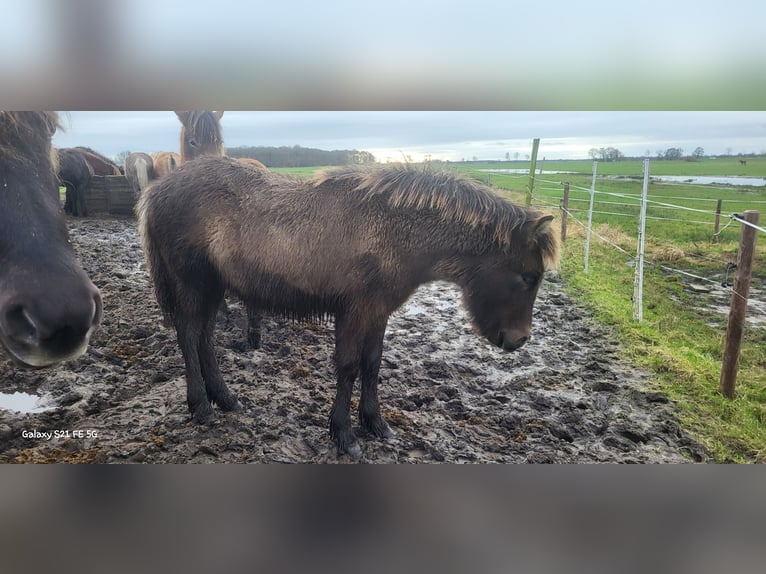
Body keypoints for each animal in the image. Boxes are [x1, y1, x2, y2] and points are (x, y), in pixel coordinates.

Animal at [136, 160, 560, 462]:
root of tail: (156, 190)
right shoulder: (356, 312)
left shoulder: (378, 312)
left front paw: (376, 424)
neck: (392, 232)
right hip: (193, 284)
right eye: (528, 276)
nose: (519, 340)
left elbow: (372, 364)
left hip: (213, 287)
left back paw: (225, 399)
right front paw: (344, 434)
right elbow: (349, 367)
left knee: (205, 338)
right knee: (190, 335)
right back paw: (201, 407)